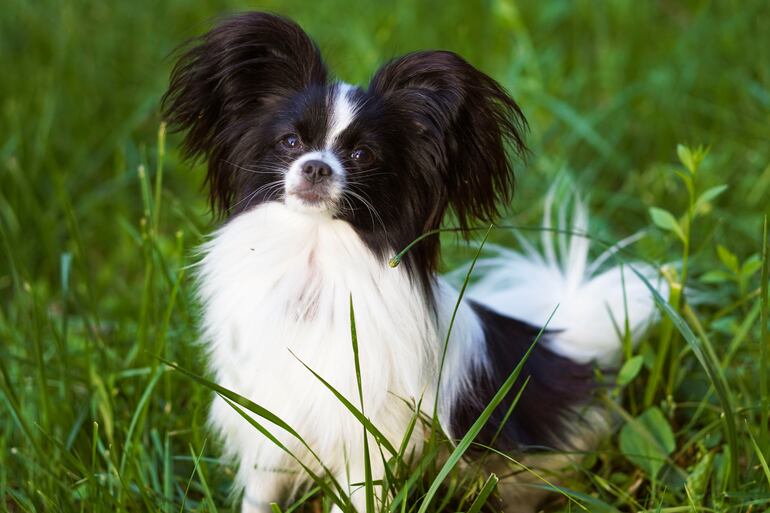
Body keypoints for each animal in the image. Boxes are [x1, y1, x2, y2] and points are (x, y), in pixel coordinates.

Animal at [160, 13, 660, 512]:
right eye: (290, 141)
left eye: (362, 154)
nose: (316, 167)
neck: (316, 260)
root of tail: (562, 344)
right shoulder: (268, 417)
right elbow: (261, 493)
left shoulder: (368, 435)